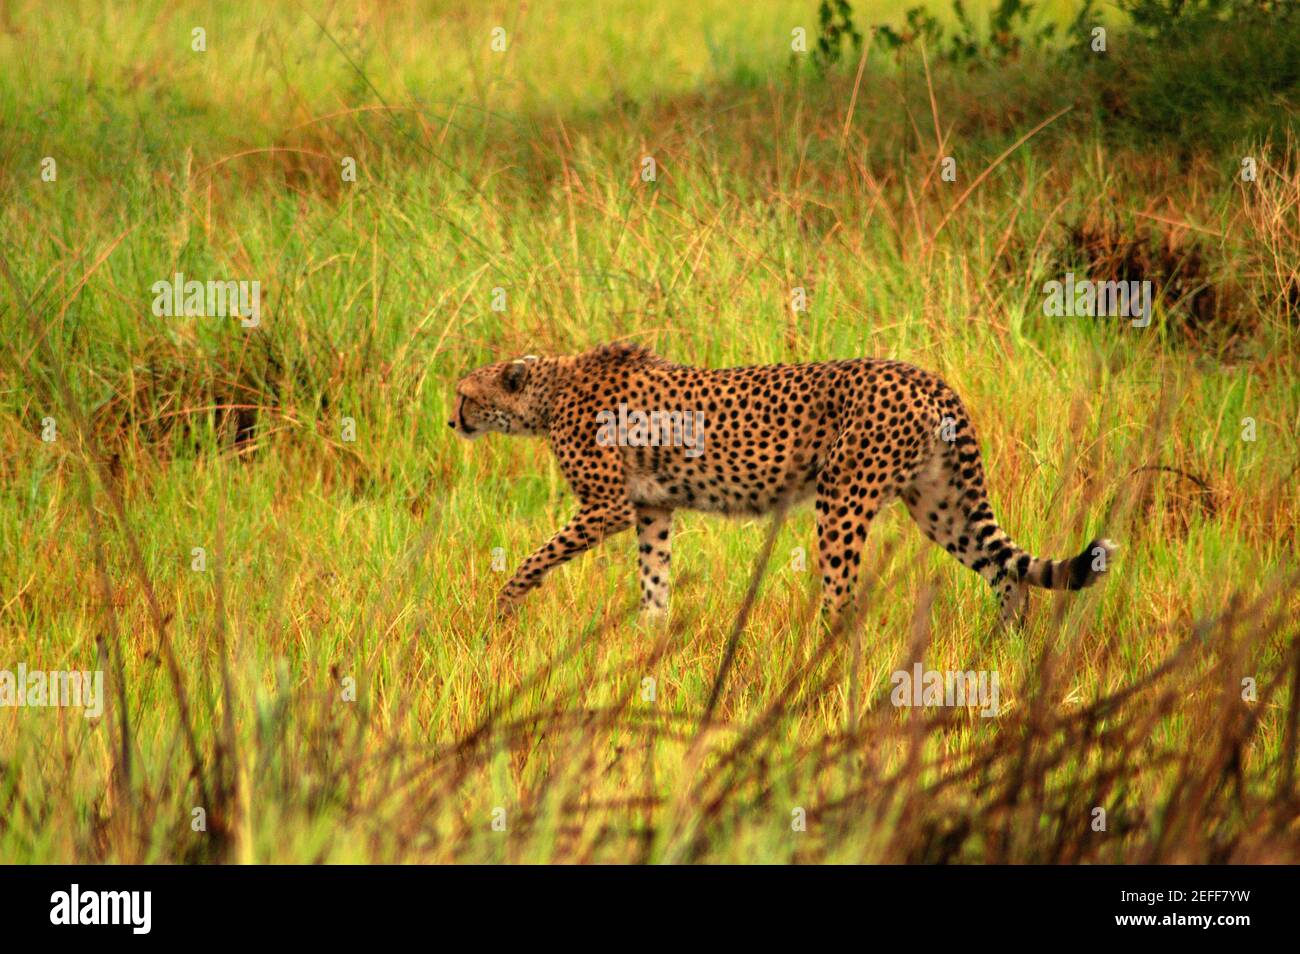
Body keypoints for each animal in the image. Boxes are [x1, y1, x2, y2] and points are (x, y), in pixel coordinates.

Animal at [449, 343, 1118, 629]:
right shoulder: (652, 507)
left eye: (463, 394)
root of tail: (922, 374)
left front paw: (504, 606)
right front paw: (650, 635)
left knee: (842, 595)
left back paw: (817, 651)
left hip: (843, 497)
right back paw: (1006, 643)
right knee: (1006, 570)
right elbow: (654, 575)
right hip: (938, 503)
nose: (450, 421)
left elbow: (538, 557)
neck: (550, 391)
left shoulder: (609, 506)